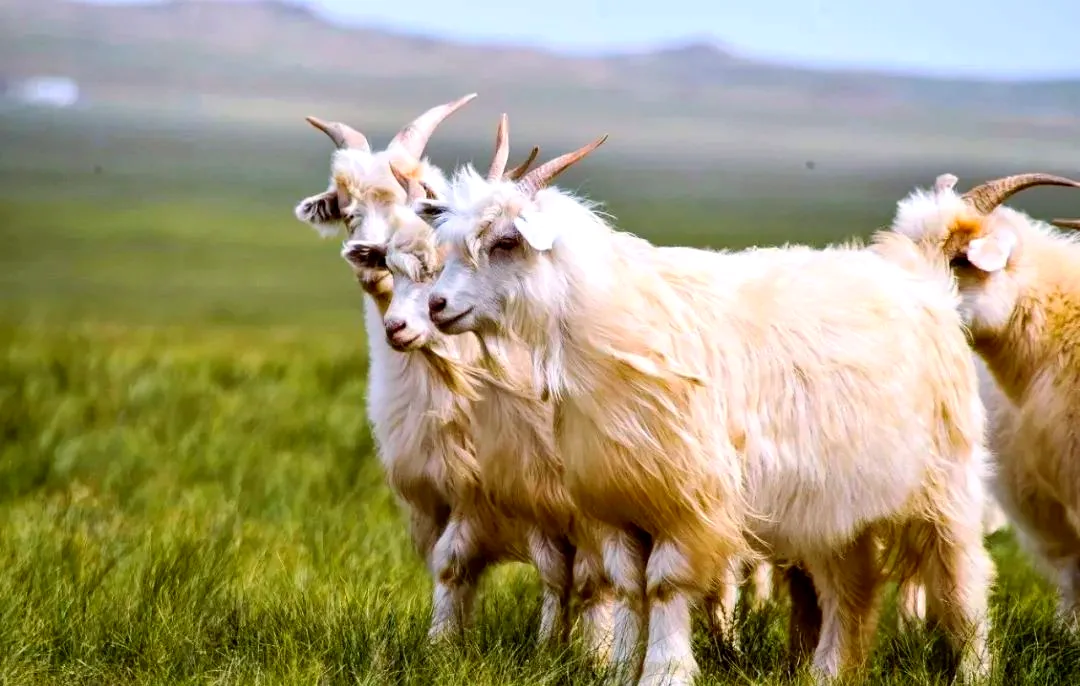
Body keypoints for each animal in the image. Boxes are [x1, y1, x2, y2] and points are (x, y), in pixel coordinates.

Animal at [420, 131, 994, 685]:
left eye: (506, 241)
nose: (436, 305)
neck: (605, 320)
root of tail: (926, 284)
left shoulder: (686, 503)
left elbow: (666, 586)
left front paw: (664, 673)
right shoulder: (619, 504)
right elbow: (628, 588)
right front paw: (620, 669)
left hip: (948, 481)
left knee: (963, 578)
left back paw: (974, 669)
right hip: (836, 508)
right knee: (851, 588)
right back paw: (828, 673)